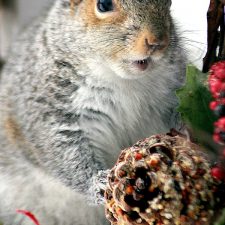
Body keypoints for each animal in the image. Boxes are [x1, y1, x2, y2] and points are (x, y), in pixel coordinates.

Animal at [0, 0, 185, 224]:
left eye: (169, 3)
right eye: (104, 5)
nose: (158, 42)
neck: (123, 81)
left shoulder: (172, 91)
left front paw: (186, 131)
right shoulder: (49, 110)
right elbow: (64, 154)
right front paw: (99, 183)